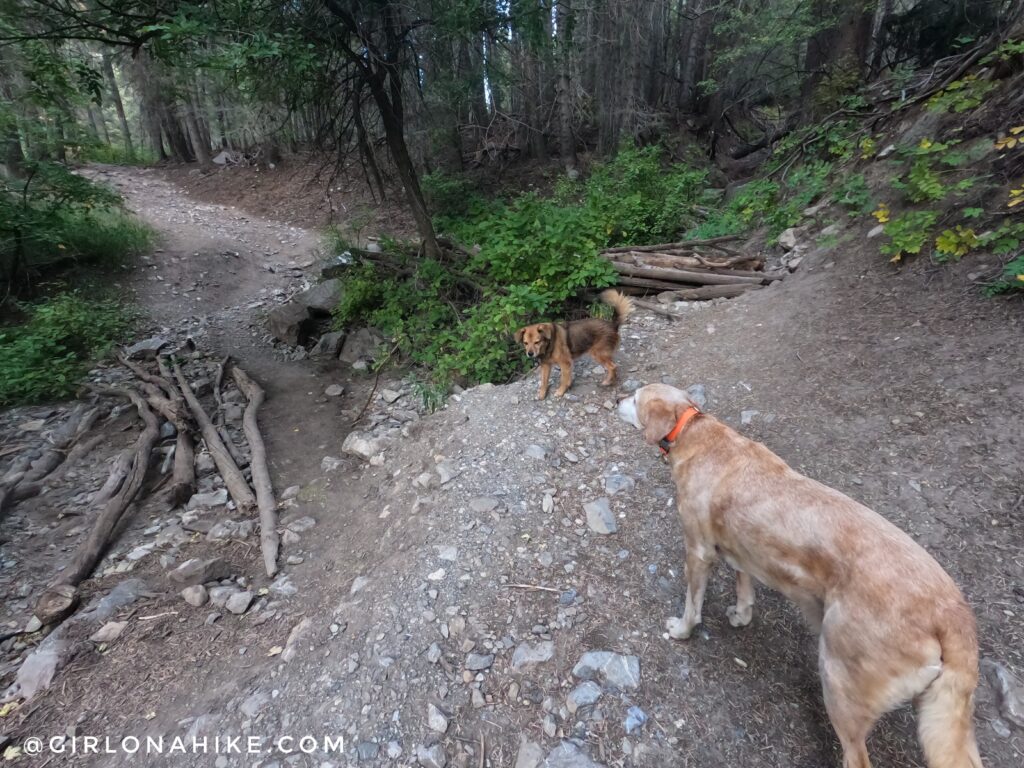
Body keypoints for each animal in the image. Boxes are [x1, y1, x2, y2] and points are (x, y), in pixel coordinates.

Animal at [614, 385, 983, 768]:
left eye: (635, 397)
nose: (614, 400)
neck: (694, 431)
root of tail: (952, 613)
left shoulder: (698, 551)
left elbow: (693, 604)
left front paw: (682, 630)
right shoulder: (740, 546)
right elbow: (744, 585)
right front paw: (741, 615)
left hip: (838, 680)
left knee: (856, 755)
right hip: (944, 717)